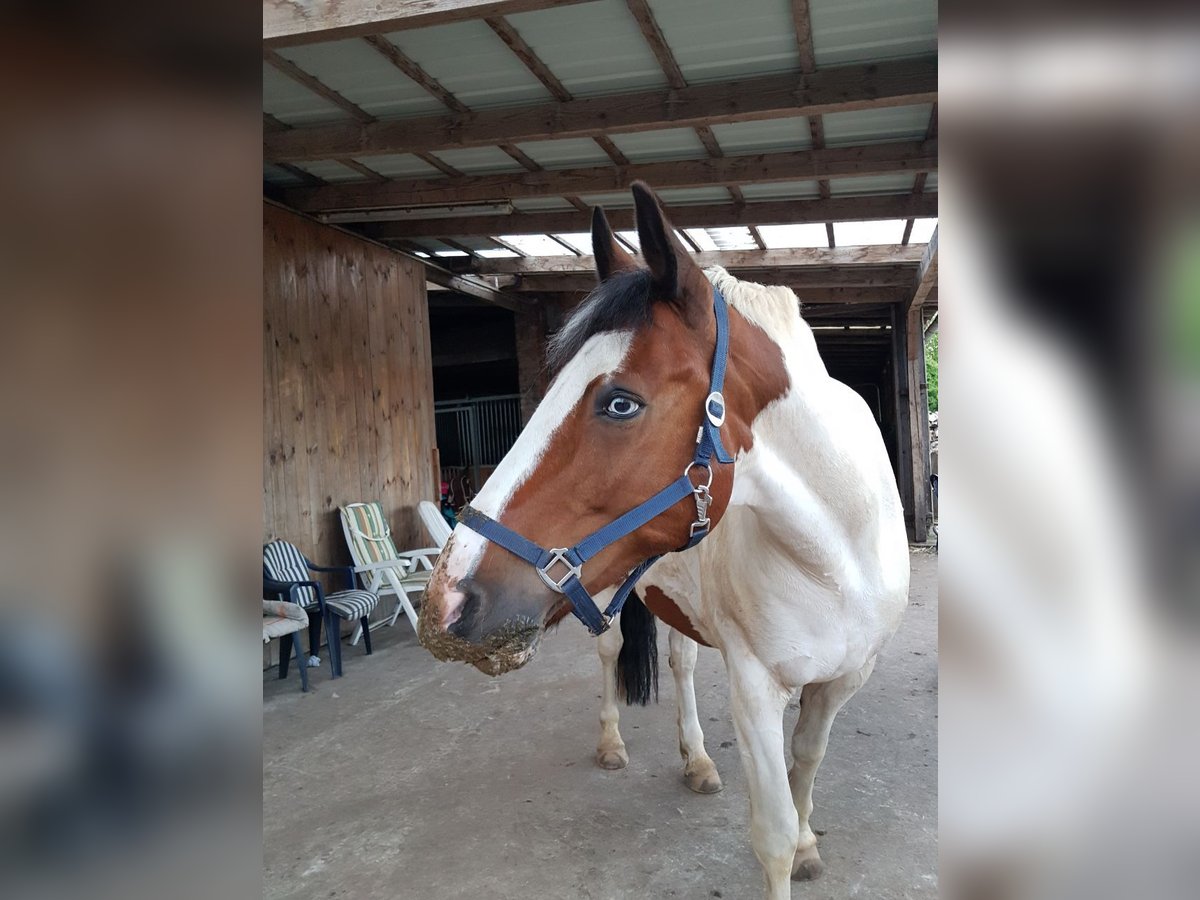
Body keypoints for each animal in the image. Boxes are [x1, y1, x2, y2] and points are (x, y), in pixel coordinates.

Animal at [422, 180, 907, 897]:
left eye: (621, 402)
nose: (446, 600)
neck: (835, 554)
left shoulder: (843, 679)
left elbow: (807, 768)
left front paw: (810, 841)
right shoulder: (755, 687)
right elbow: (771, 837)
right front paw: (791, 844)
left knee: (681, 664)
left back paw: (698, 761)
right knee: (611, 653)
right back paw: (612, 745)